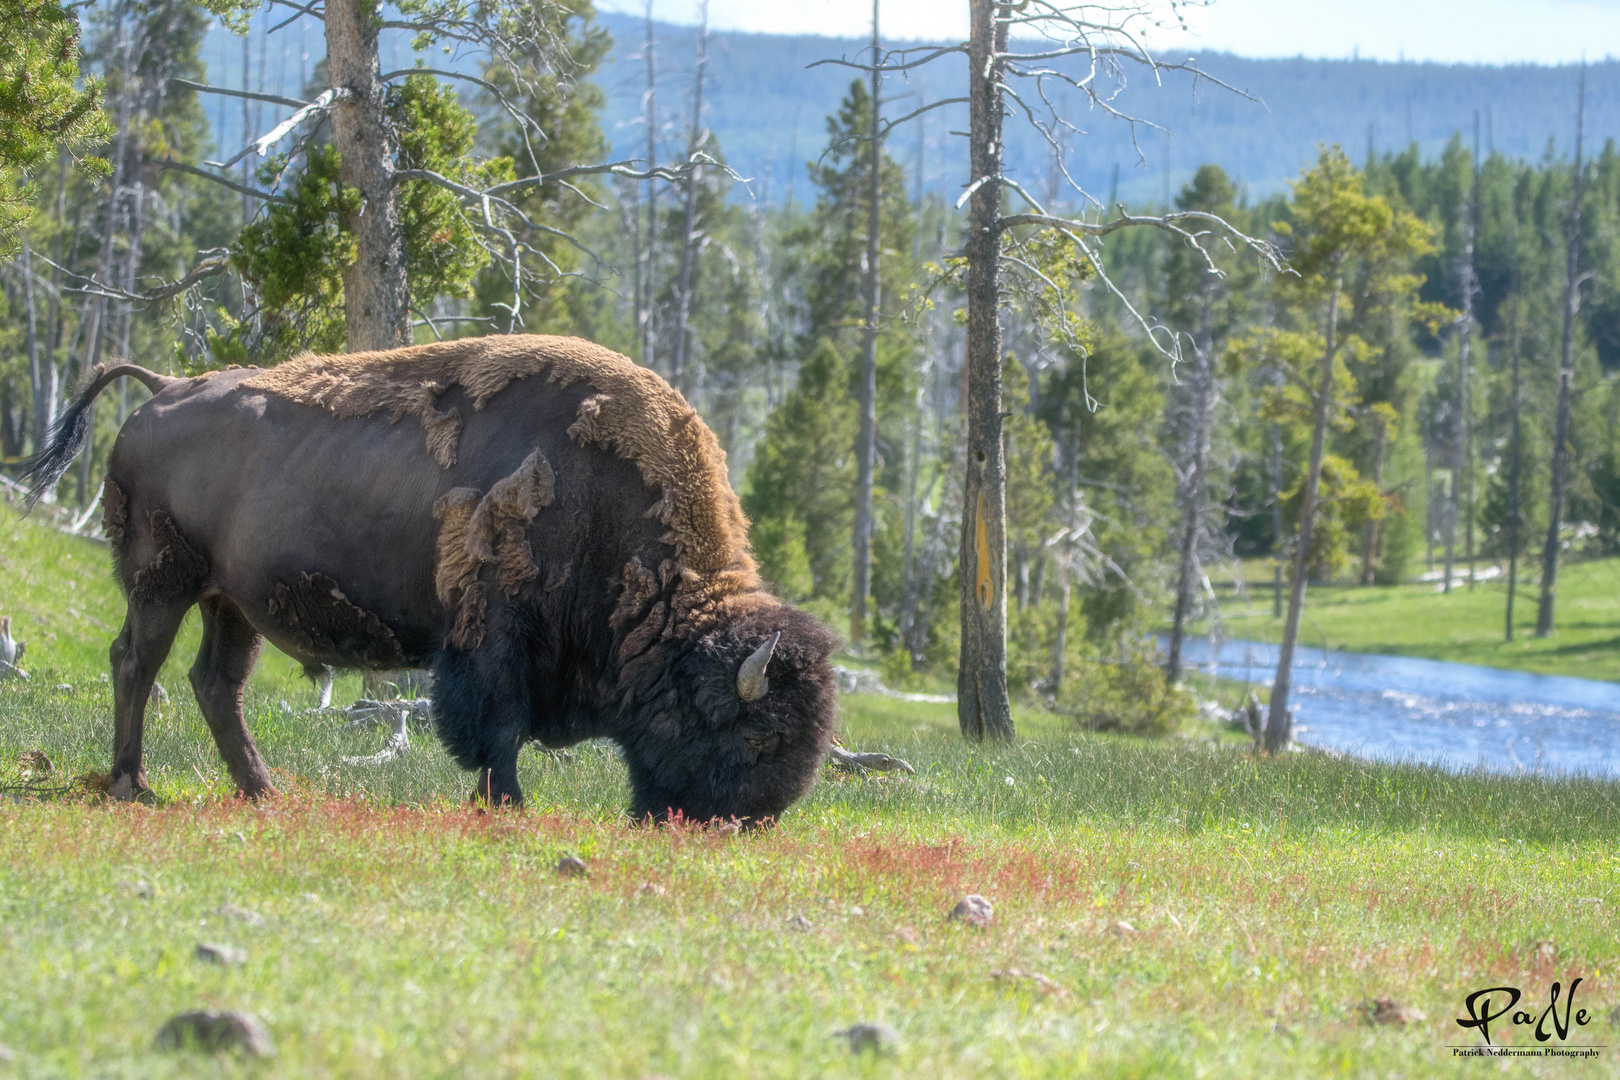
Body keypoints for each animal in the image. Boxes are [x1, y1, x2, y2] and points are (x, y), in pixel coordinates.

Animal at [22, 333, 835, 822]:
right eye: (756, 735)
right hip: (163, 581)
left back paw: (264, 790)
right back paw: (133, 784)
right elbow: (496, 727)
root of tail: (161, 388)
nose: (746, 822)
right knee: (136, 661)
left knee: (215, 683)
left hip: (233, 602)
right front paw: (507, 804)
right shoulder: (491, 634)